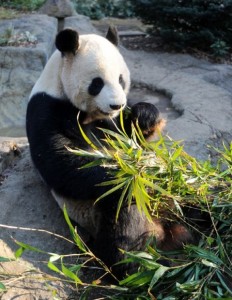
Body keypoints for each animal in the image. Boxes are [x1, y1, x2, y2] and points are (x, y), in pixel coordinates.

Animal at [26, 27, 195, 278]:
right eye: (97, 83)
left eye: (121, 79)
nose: (116, 105)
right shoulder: (46, 108)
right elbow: (62, 160)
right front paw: (134, 175)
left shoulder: (115, 122)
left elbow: (135, 135)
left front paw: (145, 116)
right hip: (94, 214)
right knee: (125, 214)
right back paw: (136, 264)